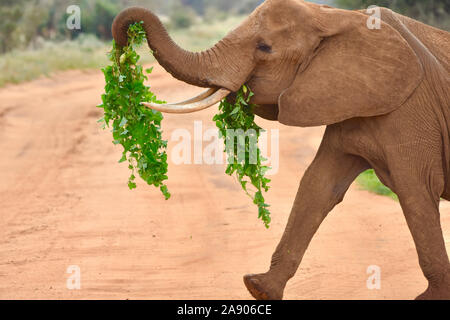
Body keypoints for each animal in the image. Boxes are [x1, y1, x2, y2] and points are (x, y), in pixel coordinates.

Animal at [110, 0, 448, 300]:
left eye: (264, 48)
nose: (126, 42)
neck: (339, 16)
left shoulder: (411, 111)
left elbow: (415, 190)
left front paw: (432, 297)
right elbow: (317, 186)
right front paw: (259, 288)